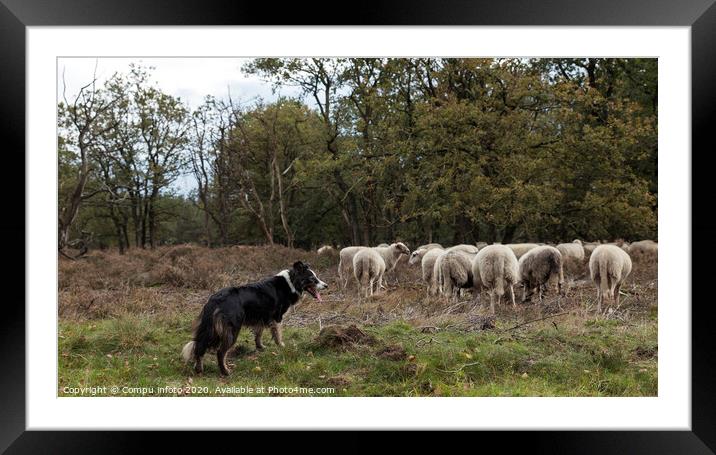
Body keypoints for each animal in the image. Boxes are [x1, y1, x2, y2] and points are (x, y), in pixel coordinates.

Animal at [182, 262, 328, 376]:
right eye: (312, 278)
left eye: (316, 277)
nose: (326, 285)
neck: (291, 282)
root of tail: (215, 300)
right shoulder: (277, 317)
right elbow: (278, 334)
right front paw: (281, 346)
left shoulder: (262, 317)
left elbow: (258, 334)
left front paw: (260, 347)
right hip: (232, 330)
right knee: (220, 352)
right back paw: (225, 372)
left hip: (210, 329)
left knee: (199, 347)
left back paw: (199, 369)